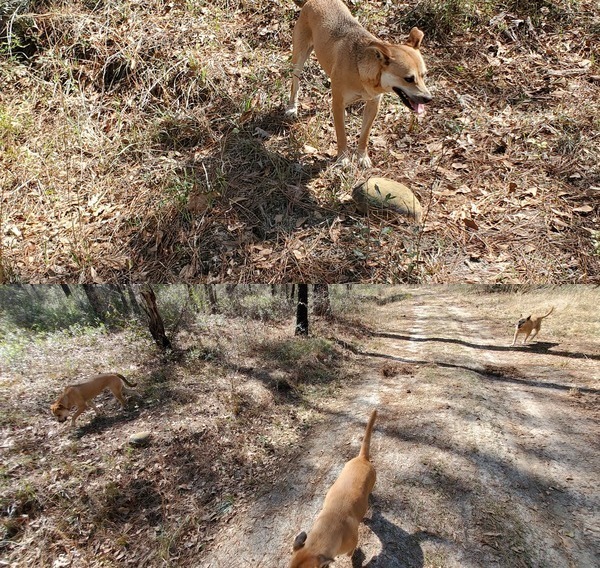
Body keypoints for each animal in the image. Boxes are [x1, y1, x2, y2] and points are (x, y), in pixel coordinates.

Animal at [286, 0, 432, 169]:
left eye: (424, 75)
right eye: (408, 79)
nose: (429, 98)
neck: (361, 71)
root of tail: (311, 1)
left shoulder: (373, 104)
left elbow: (365, 135)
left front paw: (362, 157)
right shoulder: (338, 104)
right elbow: (341, 135)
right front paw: (343, 158)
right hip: (299, 59)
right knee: (295, 84)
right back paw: (292, 107)